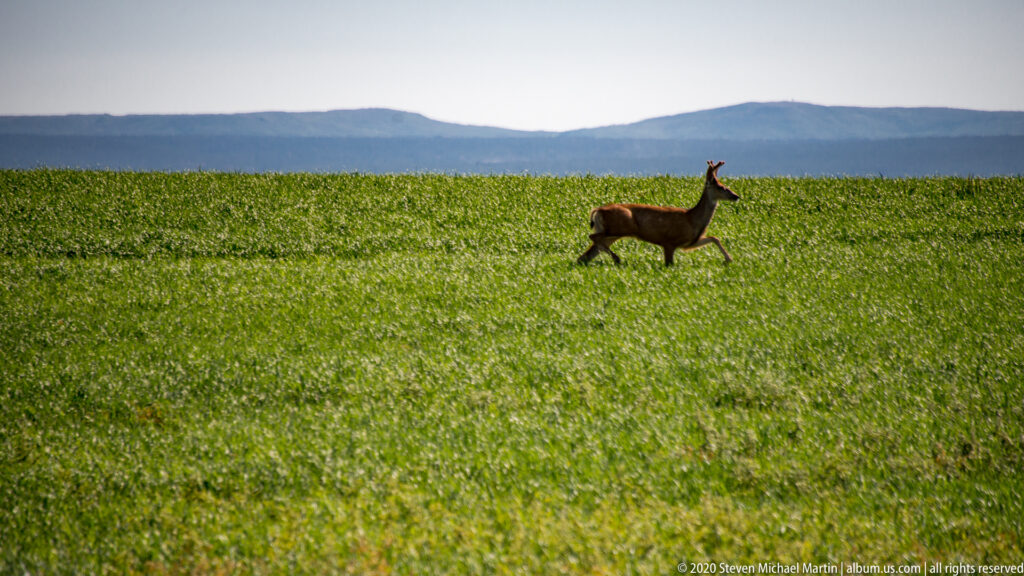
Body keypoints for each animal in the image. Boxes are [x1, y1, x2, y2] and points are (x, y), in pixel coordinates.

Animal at [577, 160, 740, 266]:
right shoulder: (669, 241)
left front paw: (729, 259)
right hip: (619, 227)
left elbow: (714, 238)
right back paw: (617, 258)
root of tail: (597, 210)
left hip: (610, 231)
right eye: (721, 187)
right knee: (593, 238)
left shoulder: (689, 243)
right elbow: (669, 263)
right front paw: (729, 259)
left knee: (586, 254)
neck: (692, 219)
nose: (736, 196)